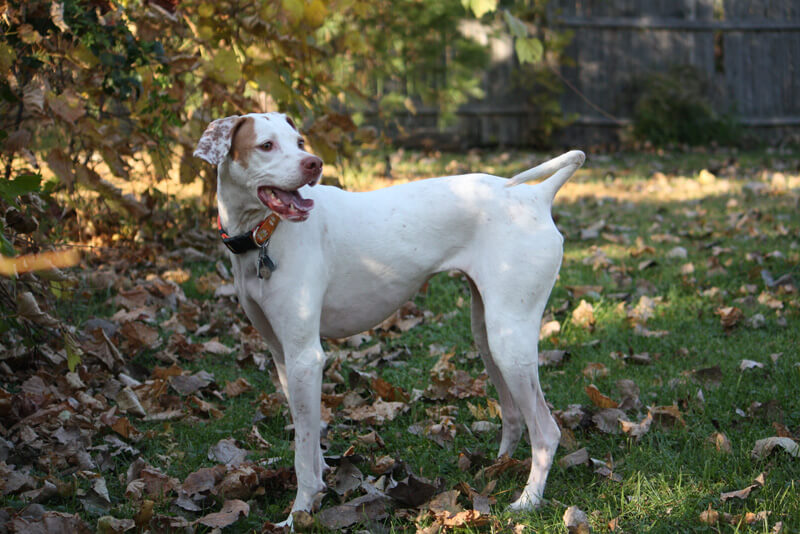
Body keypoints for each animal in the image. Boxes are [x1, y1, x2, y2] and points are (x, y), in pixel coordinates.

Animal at [194, 113, 580, 528]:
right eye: (266, 145)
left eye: (299, 143)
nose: (314, 164)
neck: (264, 236)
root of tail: (535, 197)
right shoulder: (285, 359)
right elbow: (308, 436)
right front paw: (318, 488)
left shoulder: (305, 358)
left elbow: (301, 454)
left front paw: (299, 513)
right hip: (489, 336)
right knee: (513, 415)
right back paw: (498, 468)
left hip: (509, 341)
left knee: (546, 431)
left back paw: (528, 500)